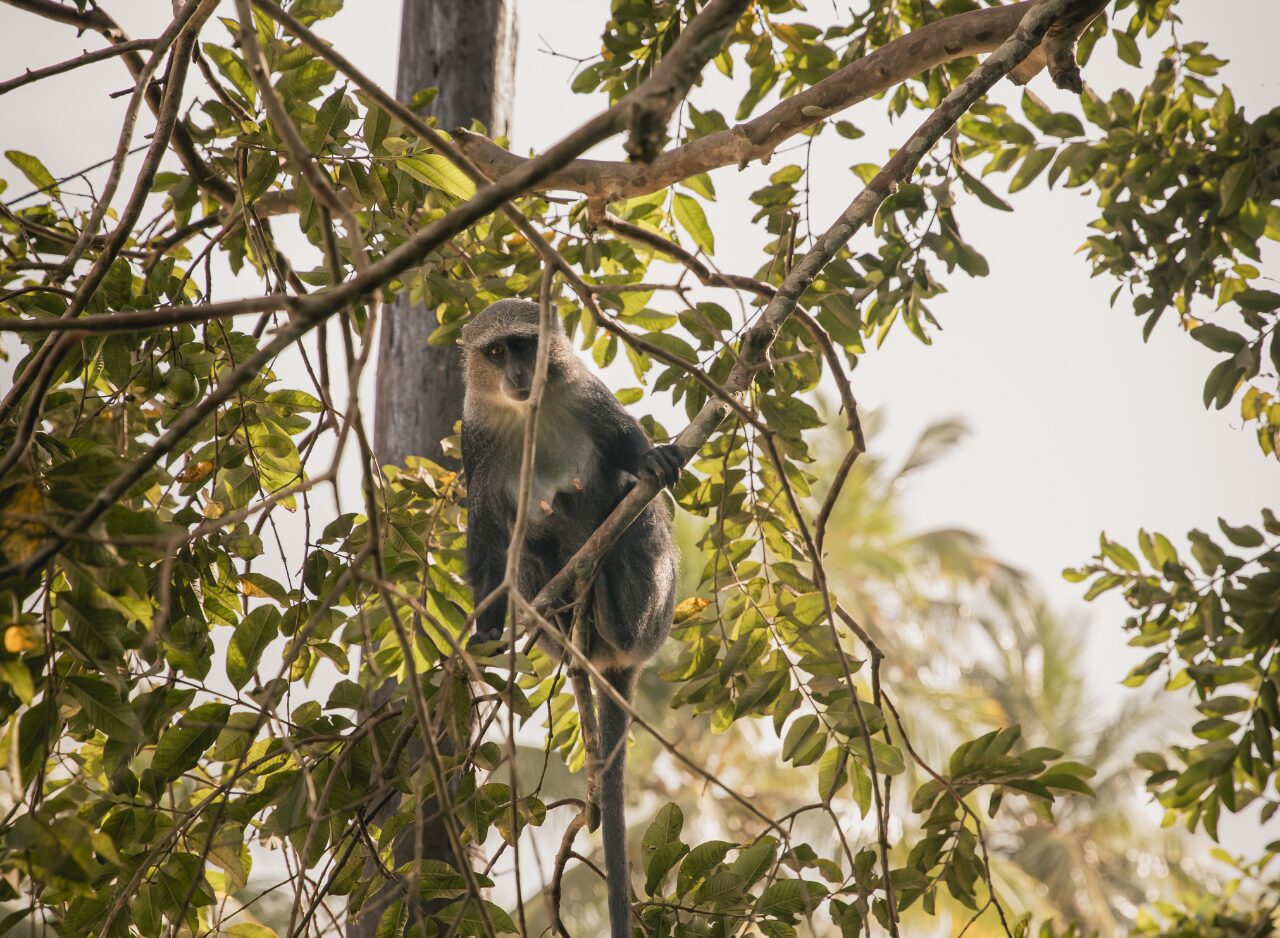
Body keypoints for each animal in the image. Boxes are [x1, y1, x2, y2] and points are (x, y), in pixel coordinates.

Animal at [459, 298, 682, 938]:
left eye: (524, 345)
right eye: (494, 352)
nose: (517, 374)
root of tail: (623, 657)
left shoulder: (586, 393)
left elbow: (625, 442)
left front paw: (649, 456)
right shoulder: (476, 442)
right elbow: (493, 541)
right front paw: (487, 627)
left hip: (653, 600)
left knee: (634, 503)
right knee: (535, 542)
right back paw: (566, 605)